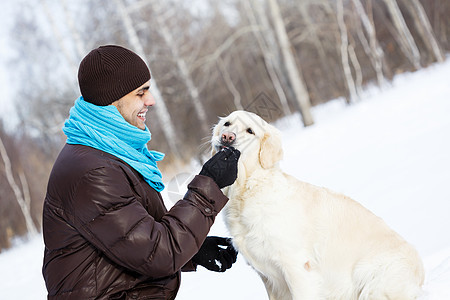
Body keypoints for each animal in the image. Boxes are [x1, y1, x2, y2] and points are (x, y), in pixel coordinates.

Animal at [211, 110, 426, 300]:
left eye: (250, 131)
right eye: (227, 124)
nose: (227, 137)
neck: (247, 190)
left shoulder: (296, 266)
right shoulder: (268, 278)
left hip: (370, 281)